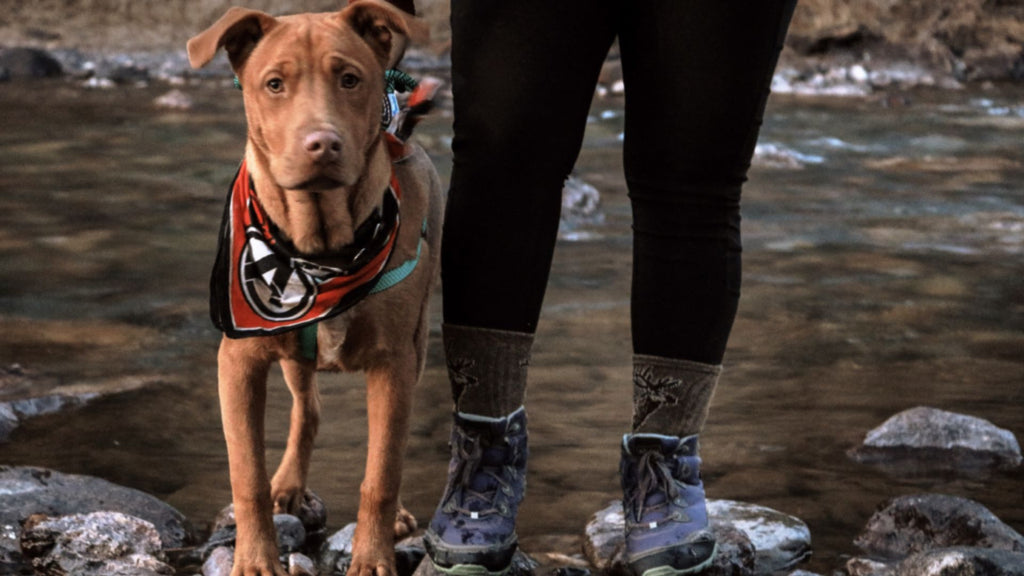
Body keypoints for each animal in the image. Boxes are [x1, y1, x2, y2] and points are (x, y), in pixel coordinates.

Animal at [187, 2, 440, 569]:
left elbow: (382, 471)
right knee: (309, 409)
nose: (322, 144)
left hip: (417, 346)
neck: (320, 251)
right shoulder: (237, 361)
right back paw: (288, 485)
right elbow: (247, 475)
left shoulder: (394, 362)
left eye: (349, 79)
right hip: (292, 355)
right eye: (274, 84)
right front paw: (254, 560)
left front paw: (372, 558)